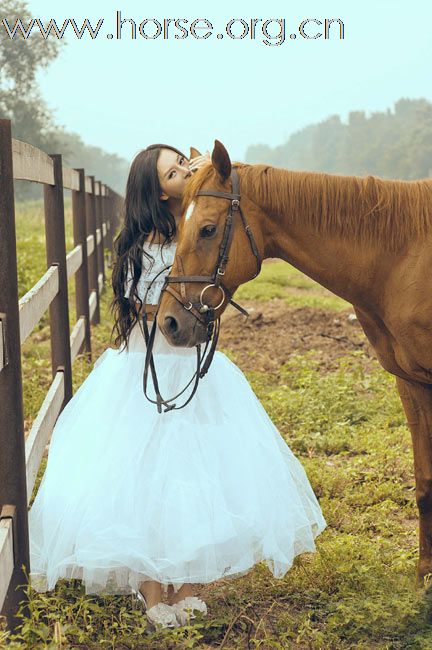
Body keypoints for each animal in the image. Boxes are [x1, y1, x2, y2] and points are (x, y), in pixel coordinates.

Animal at [159, 138, 432, 584]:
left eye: (207, 229)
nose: (169, 322)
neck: (403, 259)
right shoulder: (410, 382)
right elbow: (425, 480)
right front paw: (425, 572)